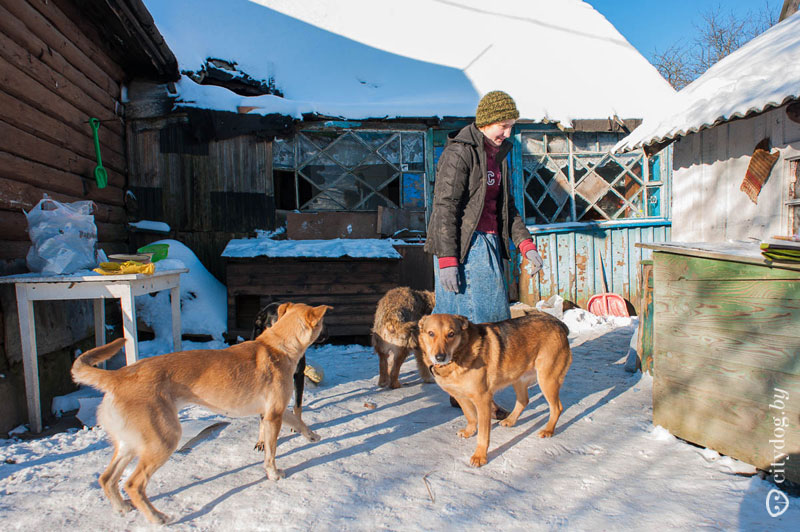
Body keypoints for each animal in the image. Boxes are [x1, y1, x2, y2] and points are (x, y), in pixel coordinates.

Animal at [70, 304, 330, 524]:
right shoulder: (273, 415)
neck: (278, 345)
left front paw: (312, 436)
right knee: (133, 484)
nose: (329, 335)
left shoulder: (274, 411)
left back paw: (121, 507)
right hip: (164, 440)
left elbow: (297, 419)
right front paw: (274, 474)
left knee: (107, 478)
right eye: (323, 324)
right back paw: (156, 518)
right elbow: (271, 453)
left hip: (129, 444)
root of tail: (118, 376)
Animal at [416, 312, 572, 466]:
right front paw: (469, 431)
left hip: (547, 380)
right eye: (431, 333)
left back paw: (548, 430)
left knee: (557, 408)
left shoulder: (482, 400)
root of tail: (558, 322)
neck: (459, 355)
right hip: (518, 378)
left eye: (451, 334)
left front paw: (480, 456)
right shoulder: (461, 397)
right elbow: (470, 416)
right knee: (524, 401)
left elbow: (483, 435)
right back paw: (510, 420)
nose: (440, 357)